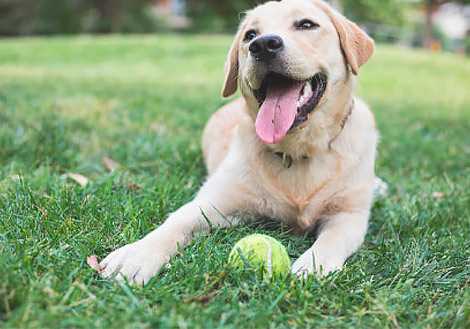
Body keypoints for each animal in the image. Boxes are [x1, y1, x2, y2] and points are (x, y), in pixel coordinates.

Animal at [94, 0, 378, 284]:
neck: (296, 151)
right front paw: (136, 254)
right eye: (250, 35)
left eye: (306, 24)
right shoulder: (214, 204)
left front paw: (313, 265)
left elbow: (332, 239)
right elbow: (176, 221)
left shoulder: (349, 216)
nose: (263, 45)